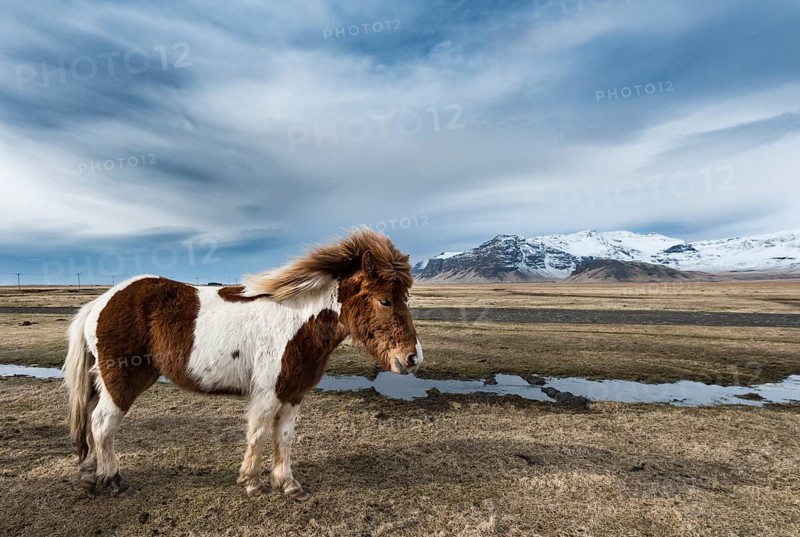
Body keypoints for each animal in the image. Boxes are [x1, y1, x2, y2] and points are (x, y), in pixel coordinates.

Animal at [62, 229, 423, 501]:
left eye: (405, 298)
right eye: (384, 300)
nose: (413, 358)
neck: (296, 323)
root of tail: (100, 302)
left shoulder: (292, 393)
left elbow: (284, 437)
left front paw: (288, 484)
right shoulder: (267, 394)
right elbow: (259, 434)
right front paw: (252, 482)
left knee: (92, 424)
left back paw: (91, 476)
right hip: (121, 382)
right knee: (102, 424)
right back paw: (113, 480)